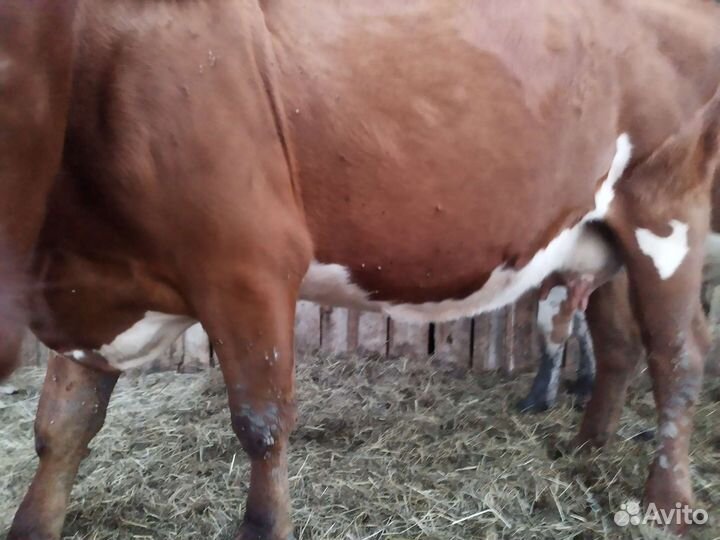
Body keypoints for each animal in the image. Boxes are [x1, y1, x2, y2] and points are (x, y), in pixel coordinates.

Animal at [7, 1, 720, 539]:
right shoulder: (86, 290)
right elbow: (60, 428)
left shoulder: (247, 266)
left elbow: (261, 425)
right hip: (605, 239)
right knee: (622, 341)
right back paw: (588, 447)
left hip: (666, 212)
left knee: (679, 355)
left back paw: (666, 503)